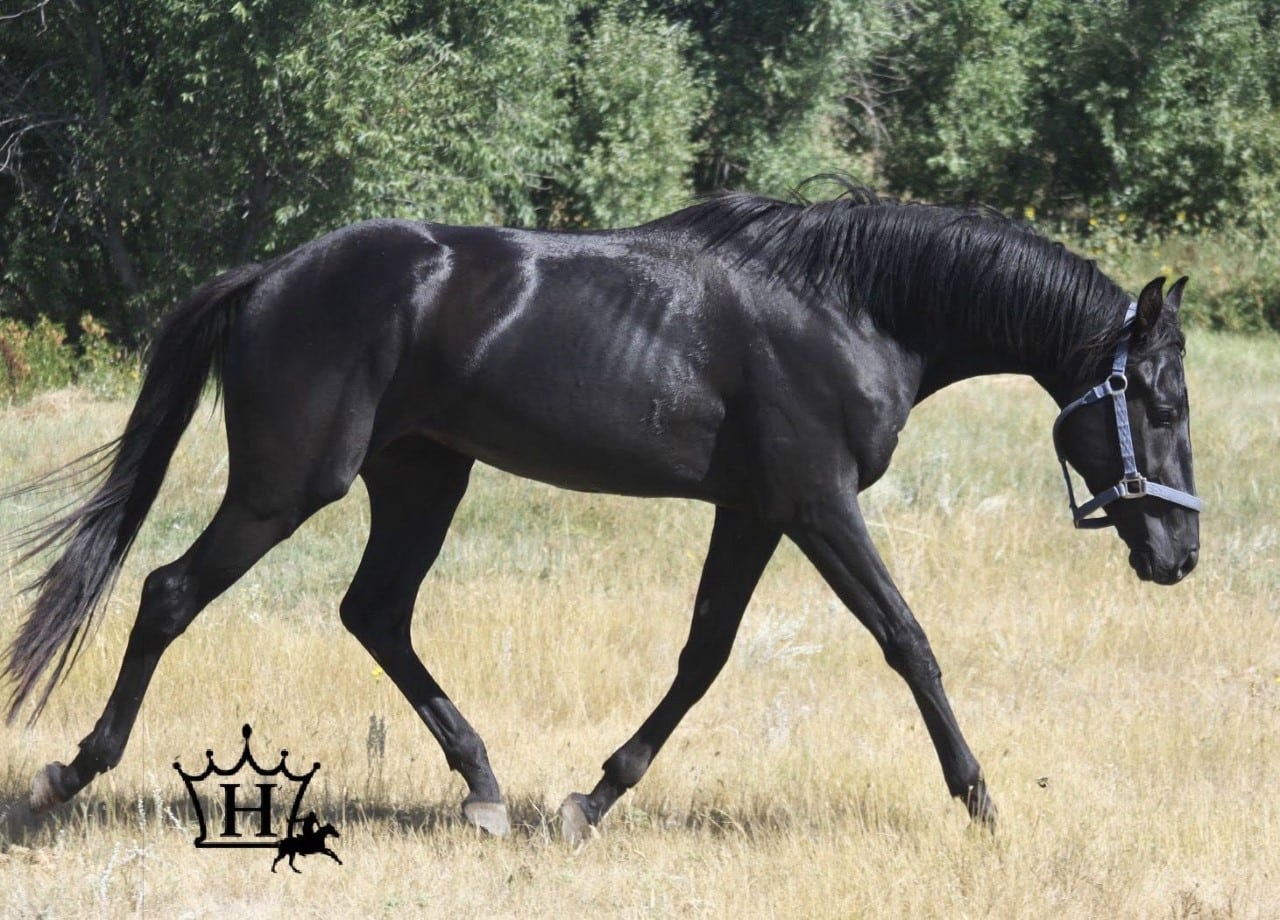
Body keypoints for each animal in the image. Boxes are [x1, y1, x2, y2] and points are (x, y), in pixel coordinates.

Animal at [2, 183, 1201, 842]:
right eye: (1159, 400)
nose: (1179, 552)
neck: (850, 307)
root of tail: (266, 276)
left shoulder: (754, 511)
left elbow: (704, 653)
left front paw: (589, 798)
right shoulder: (813, 503)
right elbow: (906, 639)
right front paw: (980, 799)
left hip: (423, 477)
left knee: (374, 613)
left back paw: (486, 788)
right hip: (288, 486)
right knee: (169, 593)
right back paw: (70, 772)